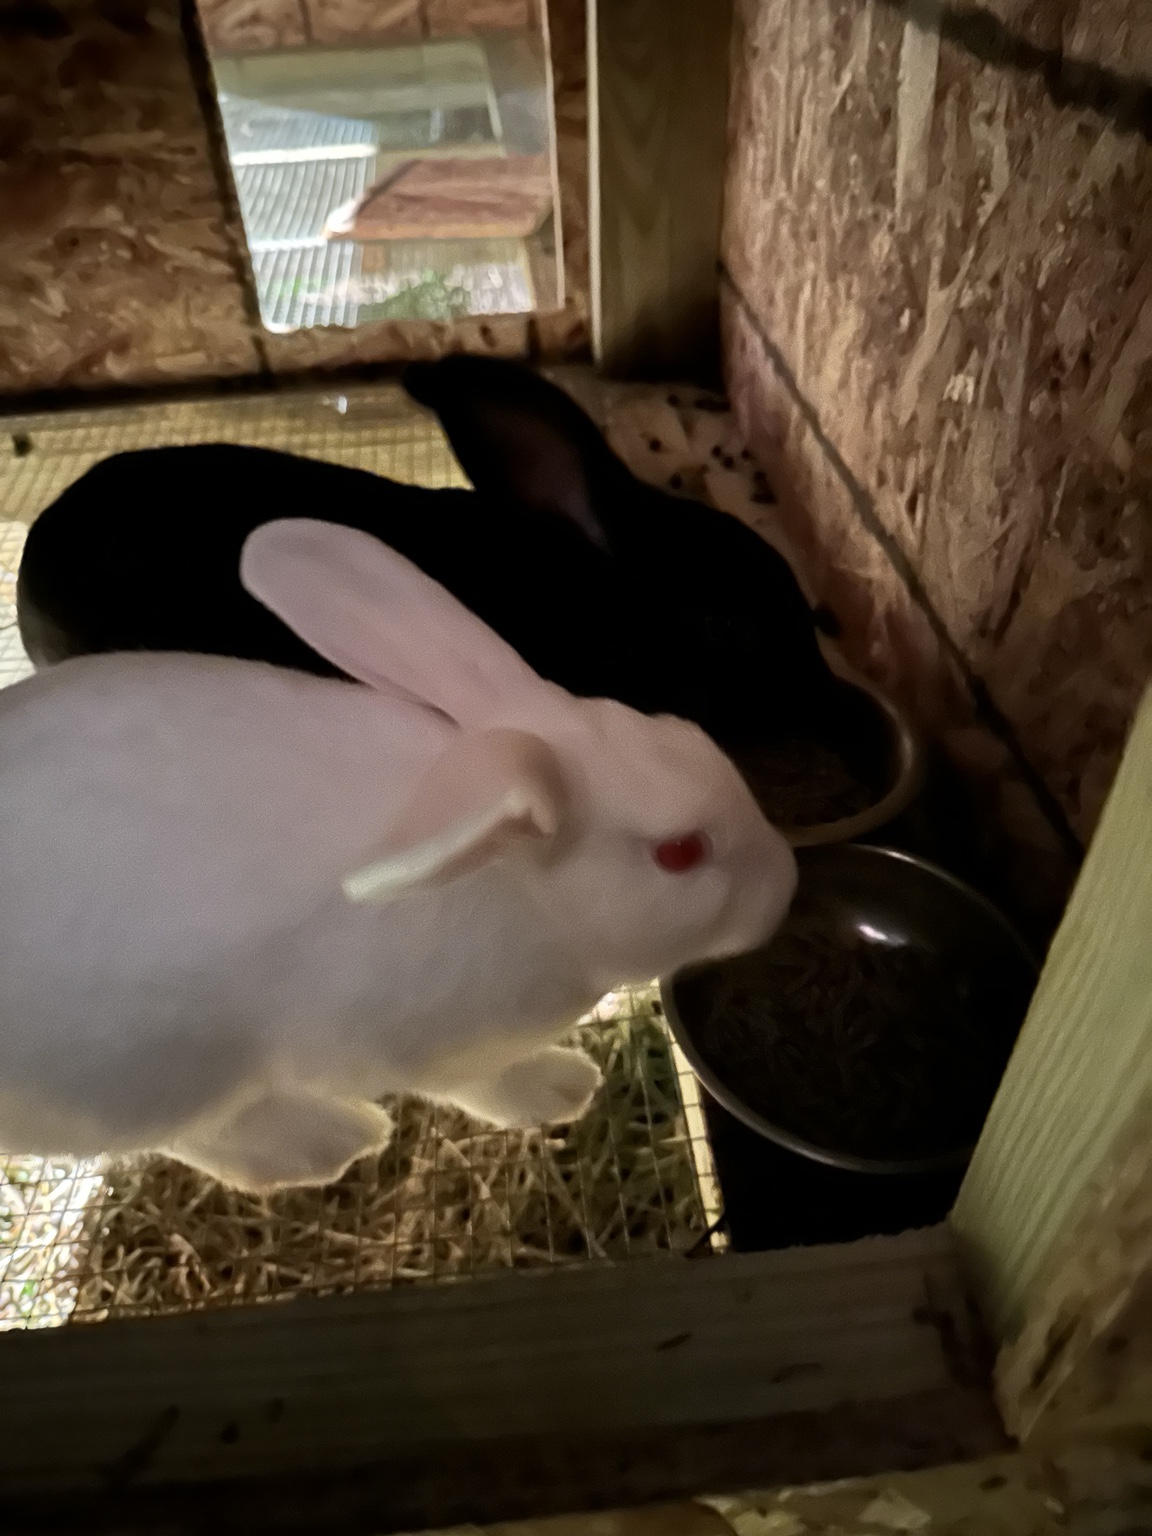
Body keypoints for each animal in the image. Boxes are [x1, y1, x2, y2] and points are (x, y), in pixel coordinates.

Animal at [0, 518, 797, 1193]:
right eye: (680, 852)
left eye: (690, 734)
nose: (786, 884)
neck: (516, 886)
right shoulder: (412, 1049)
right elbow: (479, 1085)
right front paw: (561, 1090)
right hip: (142, 1081)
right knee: (202, 1134)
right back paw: (327, 1144)